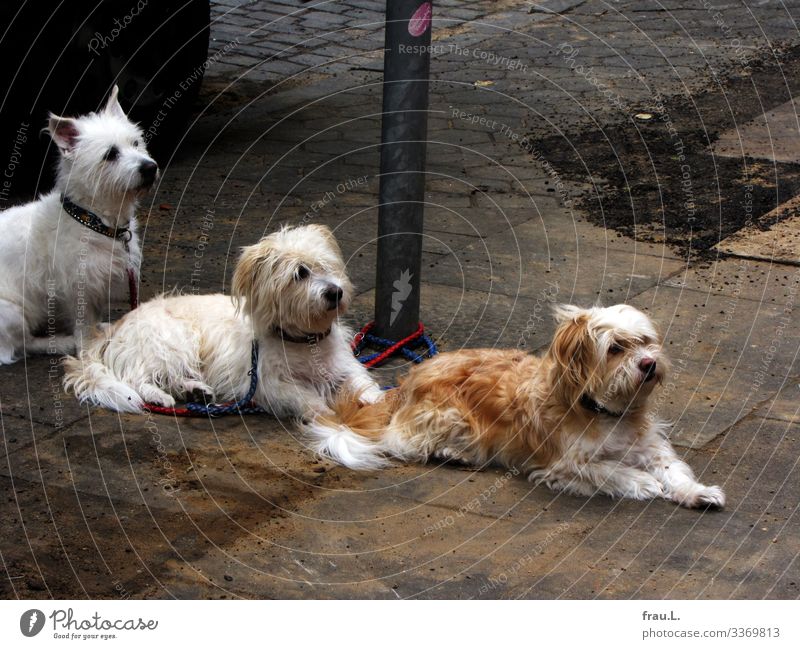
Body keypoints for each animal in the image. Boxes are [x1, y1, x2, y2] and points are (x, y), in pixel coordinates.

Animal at [0, 85, 158, 364]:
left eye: (136, 142)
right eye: (110, 154)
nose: (150, 167)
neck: (94, 220)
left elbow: (93, 318)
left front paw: (101, 330)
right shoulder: (78, 286)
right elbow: (84, 325)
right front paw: (86, 347)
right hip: (11, 312)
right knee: (18, 346)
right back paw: (60, 342)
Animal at [64, 225, 382, 418]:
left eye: (327, 267)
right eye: (300, 273)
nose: (335, 292)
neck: (303, 340)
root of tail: (113, 329)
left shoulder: (342, 366)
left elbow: (363, 383)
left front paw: (380, 403)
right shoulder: (270, 384)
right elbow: (306, 399)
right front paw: (329, 416)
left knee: (171, 377)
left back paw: (195, 390)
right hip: (172, 340)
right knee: (136, 378)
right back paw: (158, 397)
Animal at [304, 306, 724, 508]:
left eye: (646, 342)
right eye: (616, 348)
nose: (649, 364)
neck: (605, 412)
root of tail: (407, 381)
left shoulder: (650, 447)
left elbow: (674, 471)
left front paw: (696, 492)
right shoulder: (564, 464)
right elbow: (610, 471)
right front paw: (642, 482)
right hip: (453, 417)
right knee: (399, 441)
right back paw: (449, 453)